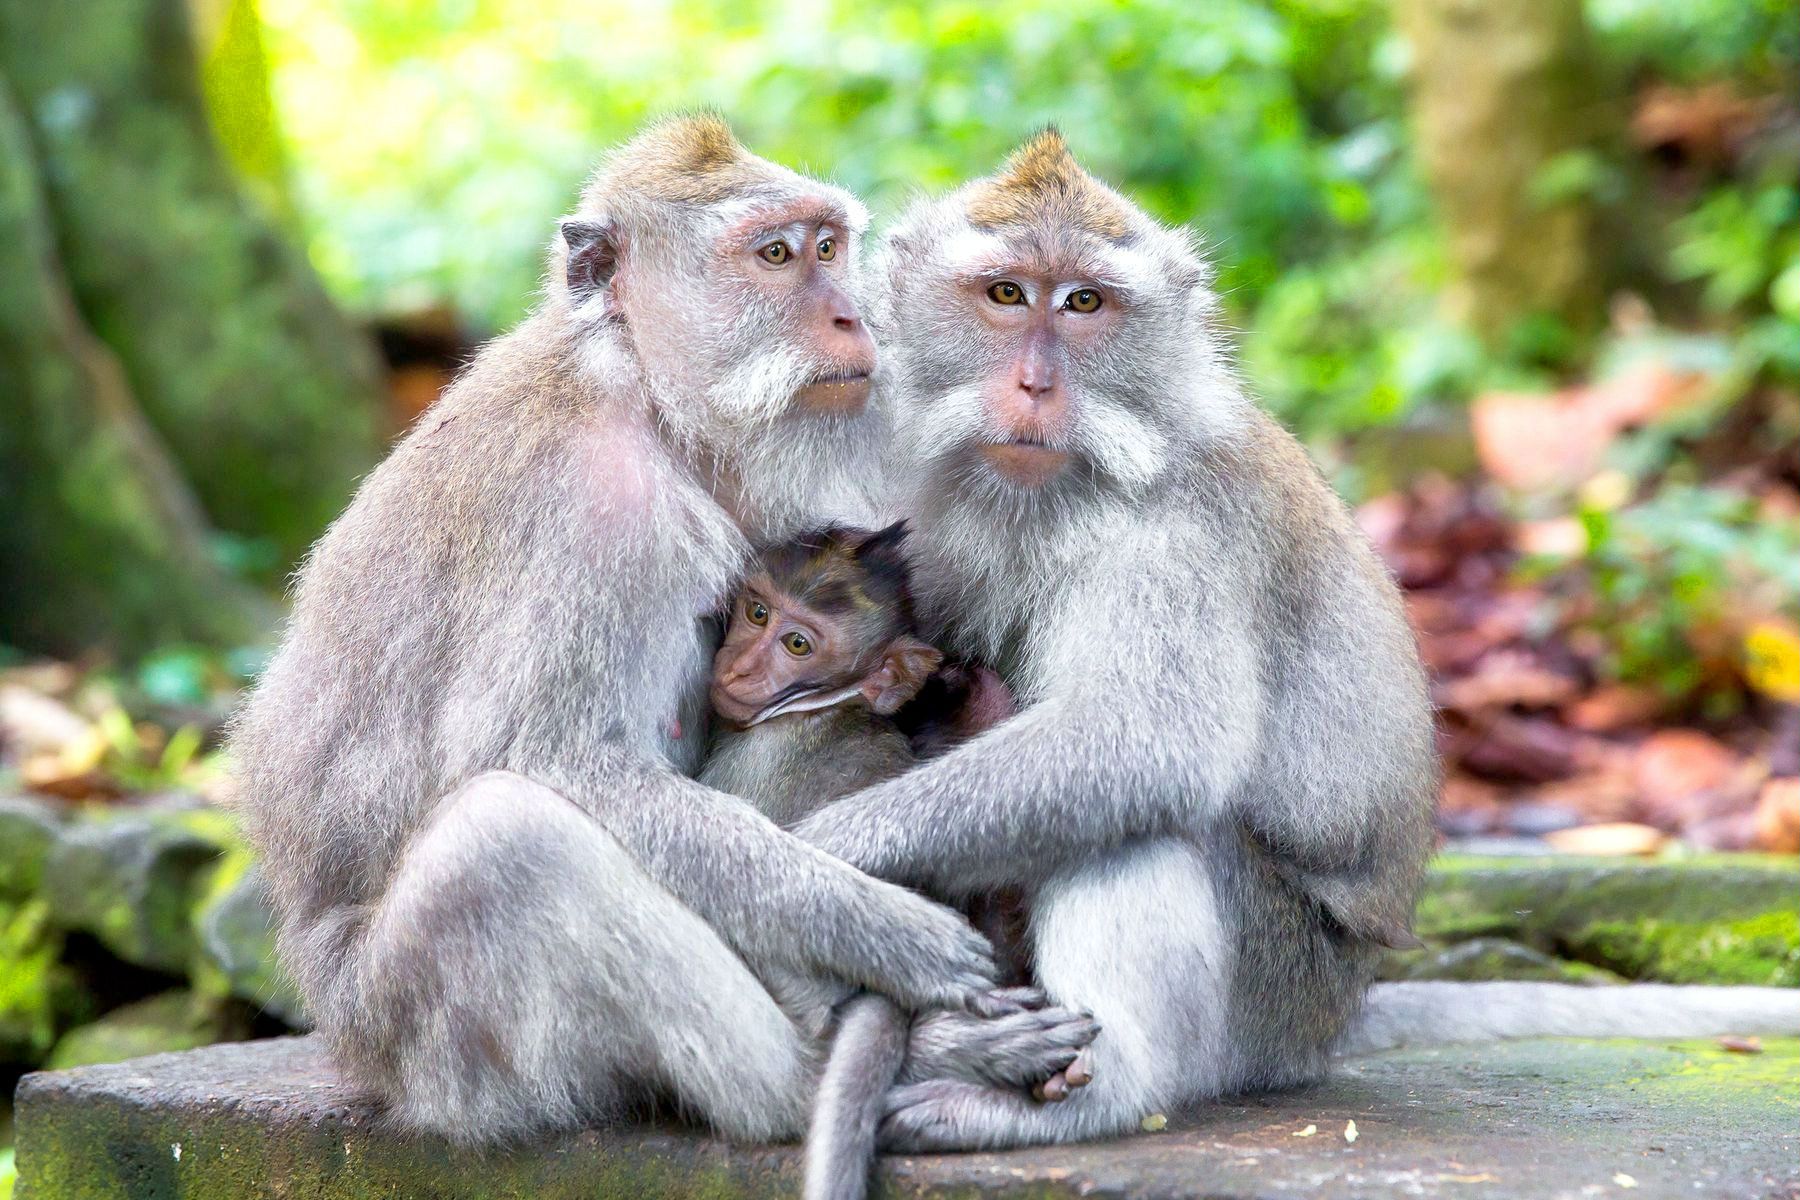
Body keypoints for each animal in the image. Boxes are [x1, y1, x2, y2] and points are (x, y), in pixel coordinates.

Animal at [785, 131, 1800, 1153]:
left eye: (1084, 303)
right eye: (1005, 294)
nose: (1035, 384)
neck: (1048, 491)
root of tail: (1334, 1021)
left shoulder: (1189, 523)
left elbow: (1148, 740)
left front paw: (827, 855)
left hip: (1272, 998)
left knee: (1142, 819)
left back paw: (1087, 1098)